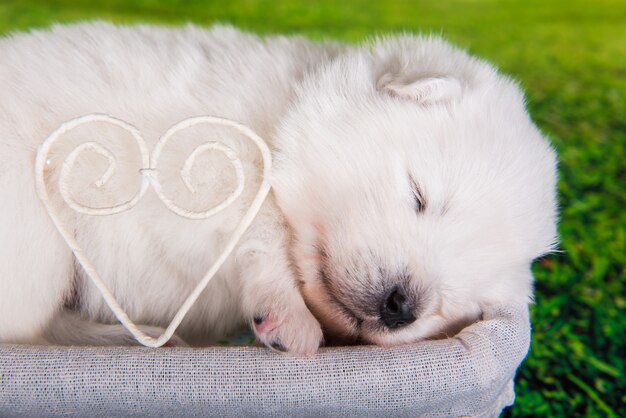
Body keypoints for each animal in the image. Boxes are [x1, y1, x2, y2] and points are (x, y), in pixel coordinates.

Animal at [0, 22, 556, 354]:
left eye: (463, 298)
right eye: (418, 195)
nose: (401, 306)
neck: (280, 111)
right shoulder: (200, 160)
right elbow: (260, 226)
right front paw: (288, 315)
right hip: (36, 239)